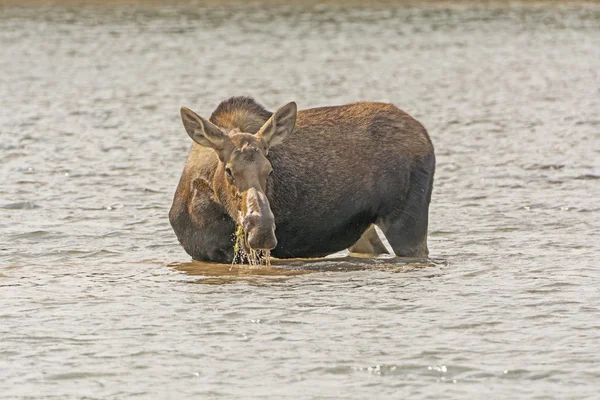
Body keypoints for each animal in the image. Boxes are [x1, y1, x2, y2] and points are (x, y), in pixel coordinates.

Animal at [170, 97, 436, 262]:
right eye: (229, 170)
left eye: (270, 170)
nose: (262, 230)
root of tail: (426, 135)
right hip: (365, 229)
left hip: (406, 220)